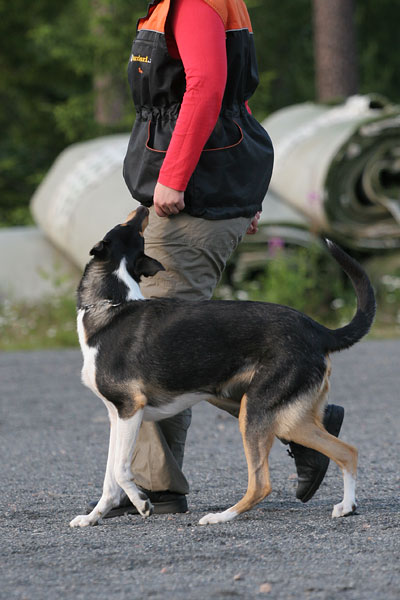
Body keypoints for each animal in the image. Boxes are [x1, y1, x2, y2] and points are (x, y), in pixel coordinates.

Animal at [69, 205, 376, 527]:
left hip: (254, 411)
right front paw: (92, 517)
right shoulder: (117, 416)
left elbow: (119, 470)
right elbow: (109, 479)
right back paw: (346, 506)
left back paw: (220, 516)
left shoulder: (131, 408)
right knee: (347, 451)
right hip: (287, 418)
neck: (113, 304)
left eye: (130, 227)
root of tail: (318, 329)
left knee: (261, 484)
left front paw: (141, 502)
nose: (143, 208)